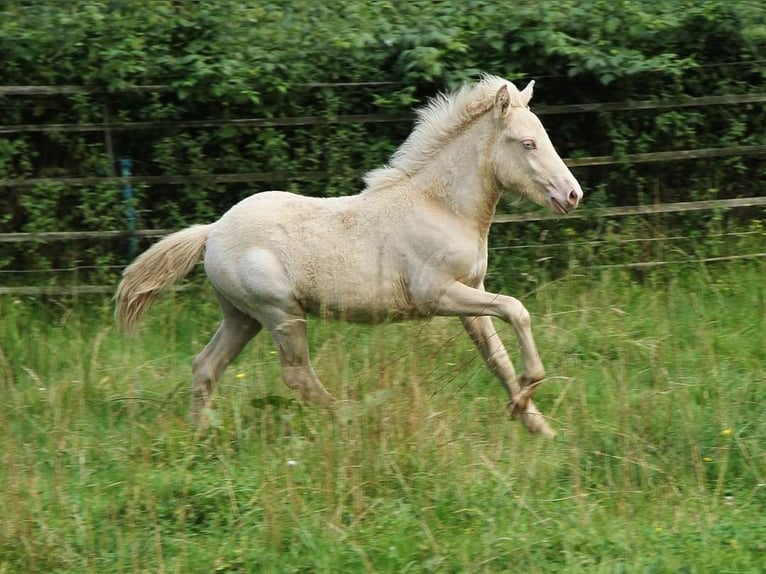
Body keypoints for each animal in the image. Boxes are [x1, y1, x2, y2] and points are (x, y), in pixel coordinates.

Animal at [115, 75, 584, 436]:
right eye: (528, 143)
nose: (572, 195)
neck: (440, 206)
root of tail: (213, 231)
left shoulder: (470, 293)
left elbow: (497, 358)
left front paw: (536, 423)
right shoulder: (438, 295)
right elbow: (517, 310)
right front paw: (530, 388)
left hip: (242, 317)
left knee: (206, 366)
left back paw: (200, 437)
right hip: (280, 313)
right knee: (297, 375)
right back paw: (352, 418)